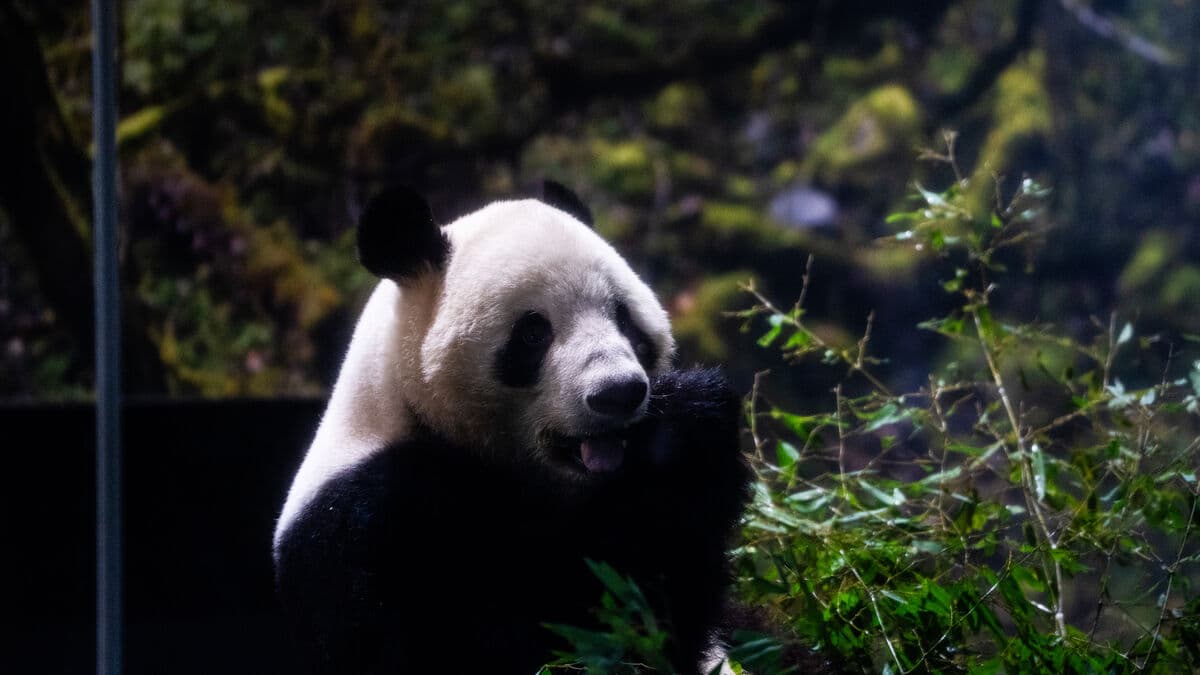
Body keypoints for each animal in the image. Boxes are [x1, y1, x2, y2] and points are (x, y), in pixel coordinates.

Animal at [273, 182, 753, 675]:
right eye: (533, 333)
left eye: (623, 318)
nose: (618, 392)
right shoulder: (375, 524)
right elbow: (538, 634)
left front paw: (689, 428)